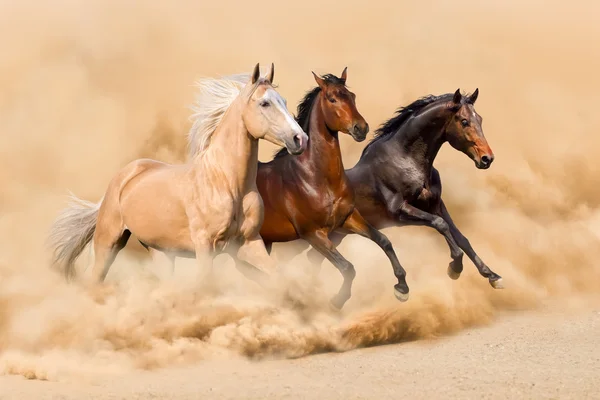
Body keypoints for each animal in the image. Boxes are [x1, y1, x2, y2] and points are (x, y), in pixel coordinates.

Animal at [48, 62, 308, 282]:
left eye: (284, 101)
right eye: (264, 103)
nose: (300, 139)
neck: (227, 183)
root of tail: (124, 177)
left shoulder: (249, 243)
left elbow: (278, 276)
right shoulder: (205, 246)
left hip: (161, 252)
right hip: (108, 243)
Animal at [241, 68, 410, 310]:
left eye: (352, 96)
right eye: (332, 98)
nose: (361, 128)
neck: (316, 178)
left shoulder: (347, 218)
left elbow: (384, 241)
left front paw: (402, 288)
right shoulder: (313, 233)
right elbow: (347, 267)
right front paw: (336, 302)